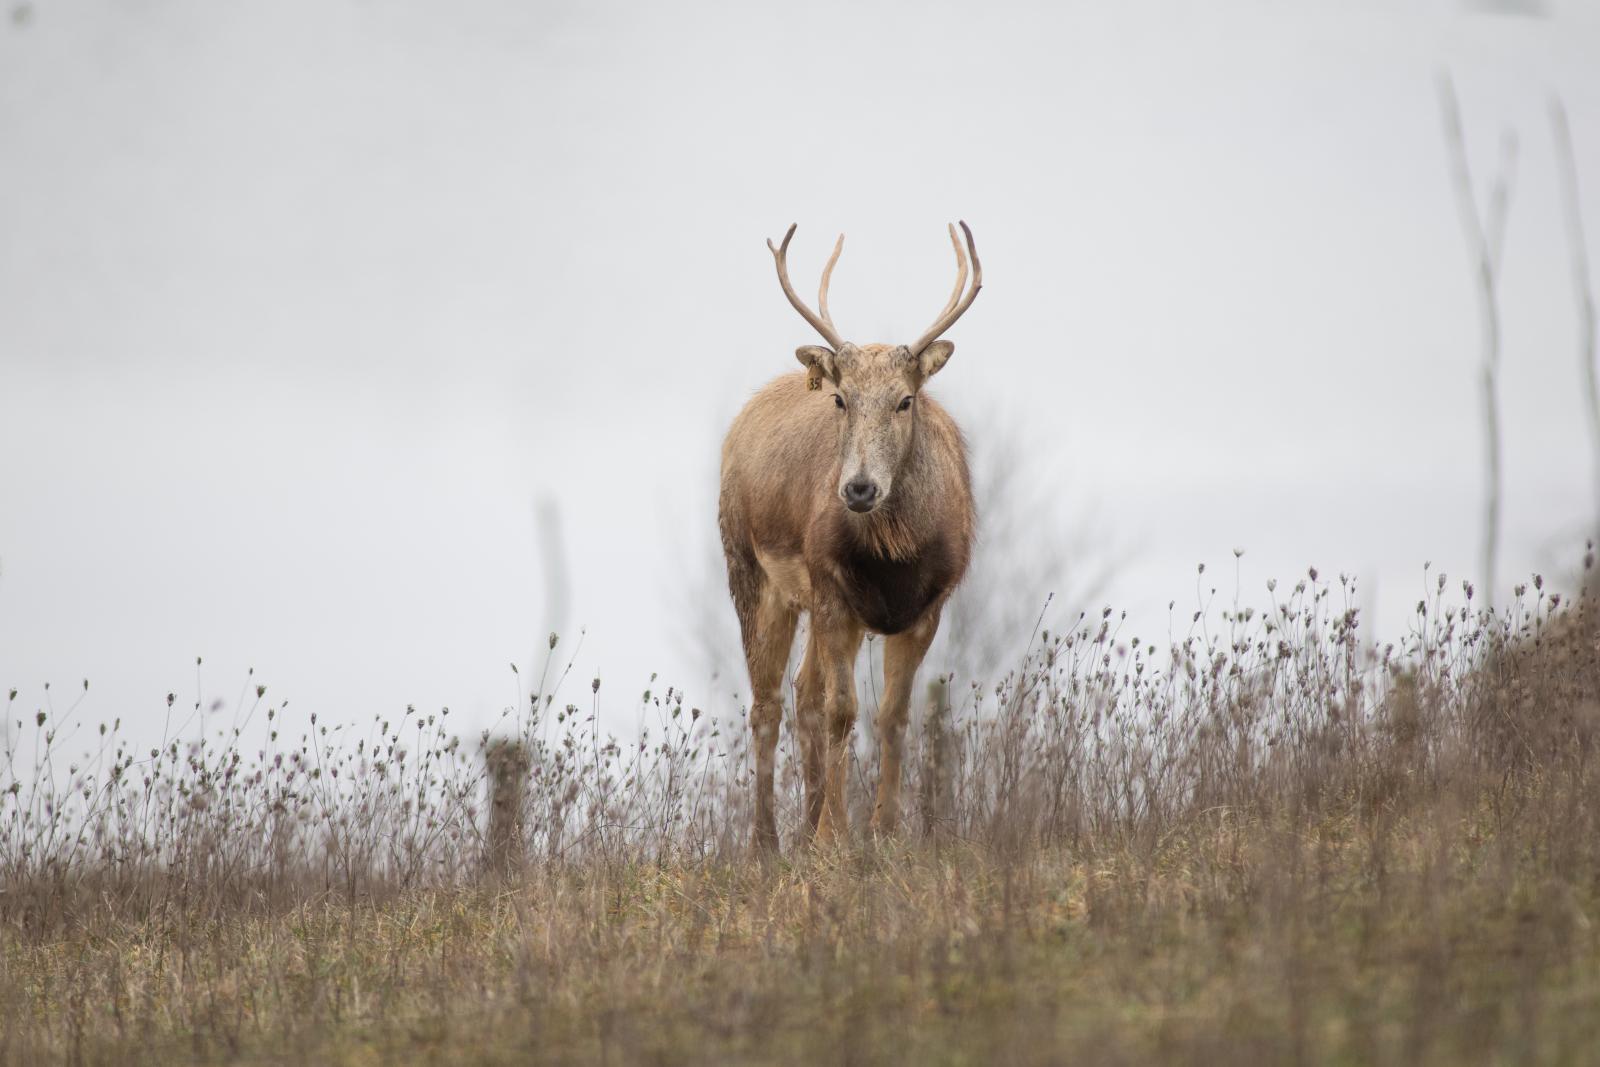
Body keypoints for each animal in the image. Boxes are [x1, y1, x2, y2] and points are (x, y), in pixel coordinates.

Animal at [718, 221, 983, 852]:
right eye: (841, 399)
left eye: (905, 400)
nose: (859, 488)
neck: (894, 558)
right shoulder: (832, 591)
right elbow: (843, 710)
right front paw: (834, 839)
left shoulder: (927, 606)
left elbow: (893, 715)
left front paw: (885, 831)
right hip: (750, 569)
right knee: (768, 703)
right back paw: (767, 841)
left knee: (801, 690)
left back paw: (804, 822)